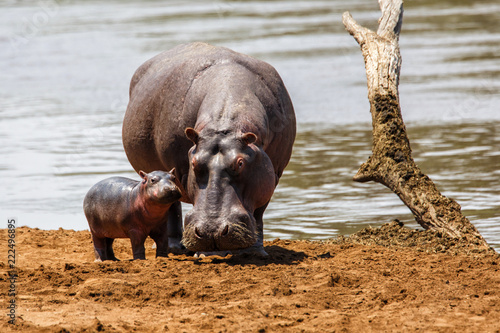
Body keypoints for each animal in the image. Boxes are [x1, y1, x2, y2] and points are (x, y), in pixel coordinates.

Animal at [123, 41, 294, 254]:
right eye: (194, 163)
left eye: (240, 163)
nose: (212, 231)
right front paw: (205, 253)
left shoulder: (273, 174)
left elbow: (258, 213)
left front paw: (254, 251)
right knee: (171, 206)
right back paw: (174, 247)